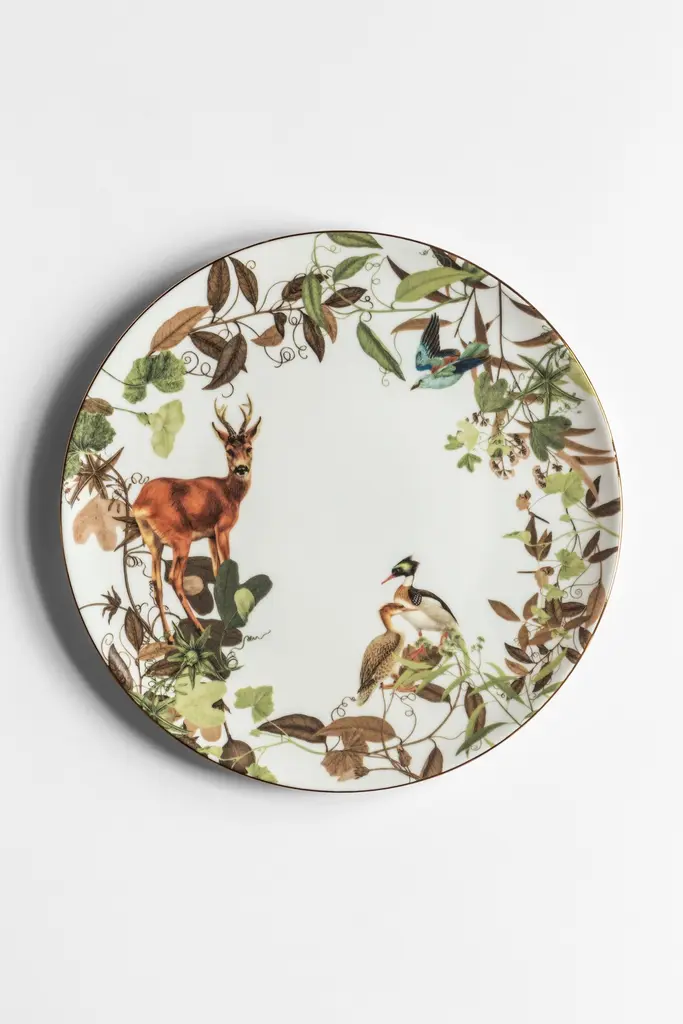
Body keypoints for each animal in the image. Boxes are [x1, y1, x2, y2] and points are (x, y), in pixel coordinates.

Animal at [132, 396, 261, 639]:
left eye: (249, 448)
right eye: (229, 450)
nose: (241, 469)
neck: (229, 492)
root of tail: (140, 503)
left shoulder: (210, 535)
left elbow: (217, 570)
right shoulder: (222, 529)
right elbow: (227, 564)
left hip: (153, 542)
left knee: (156, 583)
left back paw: (169, 635)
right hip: (181, 539)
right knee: (174, 579)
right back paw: (200, 629)